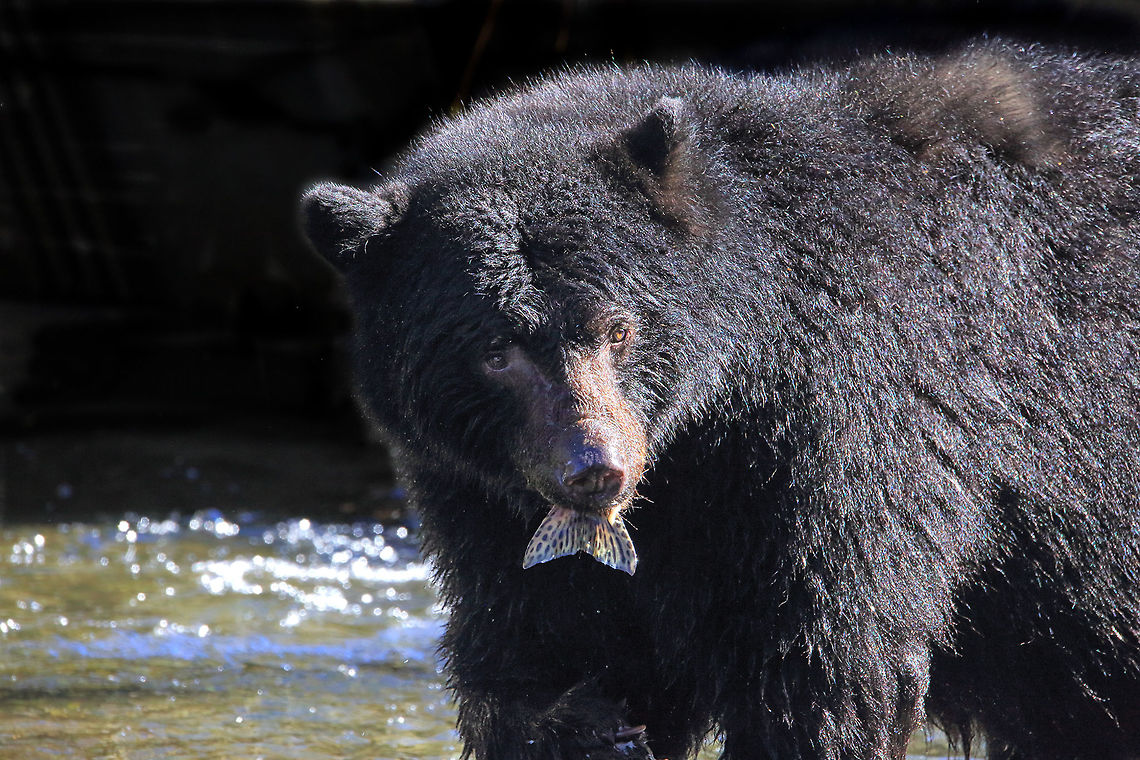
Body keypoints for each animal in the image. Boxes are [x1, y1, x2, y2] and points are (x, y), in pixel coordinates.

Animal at [301, 39, 1140, 760]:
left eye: (618, 327)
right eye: (495, 351)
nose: (594, 469)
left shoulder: (851, 433)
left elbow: (824, 662)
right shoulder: (488, 508)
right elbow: (536, 649)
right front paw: (584, 724)